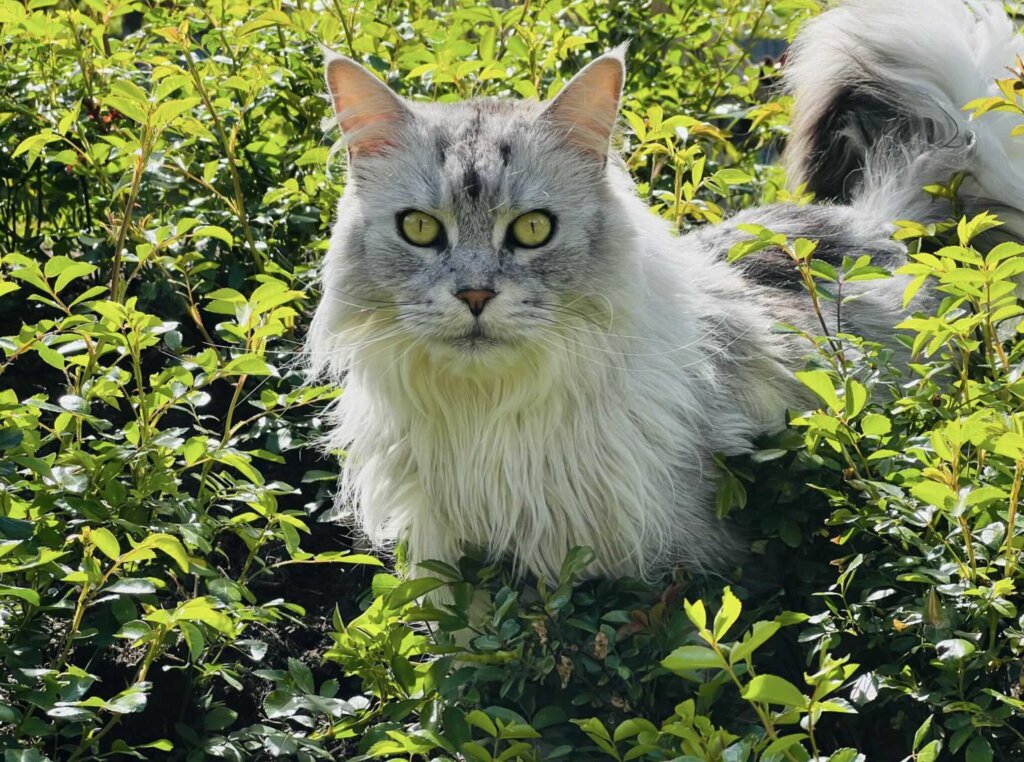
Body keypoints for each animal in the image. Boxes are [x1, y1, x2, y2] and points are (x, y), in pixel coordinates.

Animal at [307, 0, 1024, 581]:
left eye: (533, 230)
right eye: (421, 229)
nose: (476, 296)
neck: (487, 417)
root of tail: (882, 222)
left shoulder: (667, 564)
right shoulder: (443, 559)